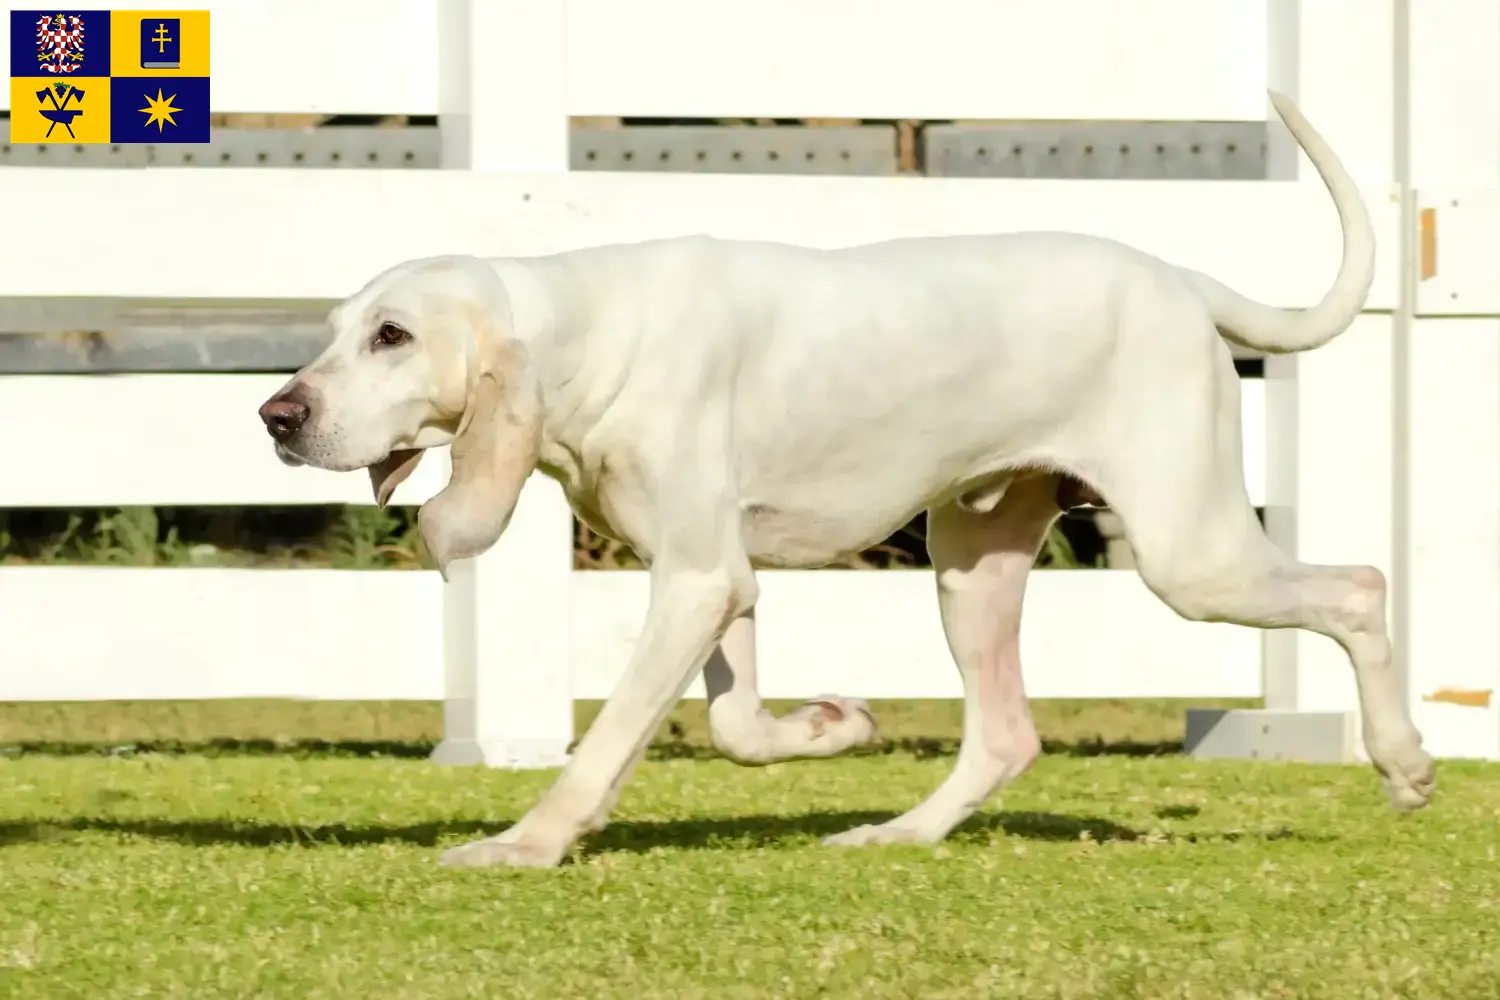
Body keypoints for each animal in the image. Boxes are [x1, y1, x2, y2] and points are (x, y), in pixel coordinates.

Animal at [258, 95, 1428, 875]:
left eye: (393, 336)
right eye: (334, 330)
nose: (277, 416)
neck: (589, 333)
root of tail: (1187, 281)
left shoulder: (694, 581)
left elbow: (606, 741)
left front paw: (528, 843)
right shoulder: (716, 576)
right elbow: (736, 727)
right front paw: (832, 729)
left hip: (1191, 556)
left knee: (1362, 587)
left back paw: (1406, 761)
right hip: (973, 565)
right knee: (1006, 735)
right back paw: (897, 832)